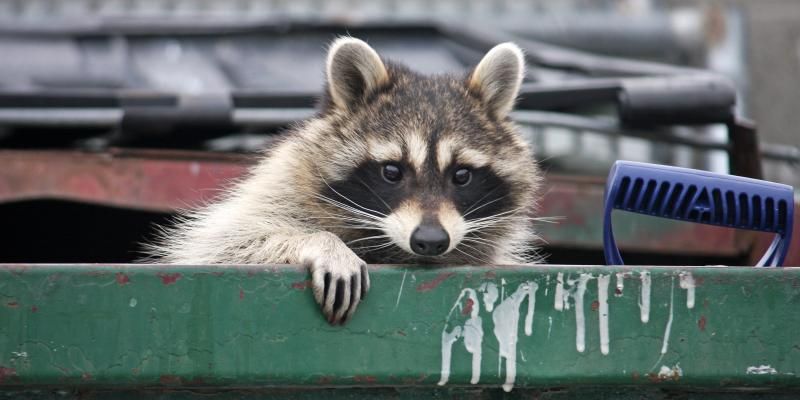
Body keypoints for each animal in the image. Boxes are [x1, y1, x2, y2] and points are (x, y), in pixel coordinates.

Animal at [148, 37, 542, 325]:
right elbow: (224, 244)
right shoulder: (275, 190)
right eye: (392, 171)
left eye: (461, 175)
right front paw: (321, 242)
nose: (430, 240)